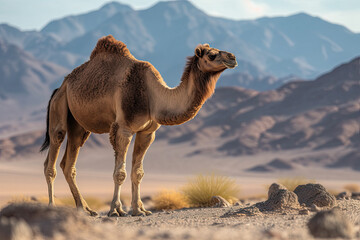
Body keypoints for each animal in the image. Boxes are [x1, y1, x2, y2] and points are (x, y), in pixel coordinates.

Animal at [40, 34, 238, 217]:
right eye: (211, 55)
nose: (233, 57)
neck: (153, 96)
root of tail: (61, 86)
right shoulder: (124, 128)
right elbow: (120, 172)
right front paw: (116, 210)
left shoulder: (147, 132)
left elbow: (138, 172)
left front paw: (139, 210)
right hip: (59, 108)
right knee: (52, 157)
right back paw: (52, 207)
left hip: (79, 126)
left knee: (68, 163)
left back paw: (86, 208)